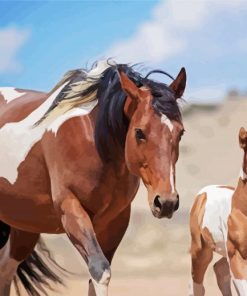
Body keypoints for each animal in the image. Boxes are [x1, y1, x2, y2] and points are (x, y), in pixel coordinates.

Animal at [0, 60, 185, 296]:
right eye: (139, 132)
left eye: (180, 132)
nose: (167, 202)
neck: (95, 140)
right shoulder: (71, 209)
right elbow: (100, 270)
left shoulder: (115, 220)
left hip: (25, 226)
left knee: (5, 268)